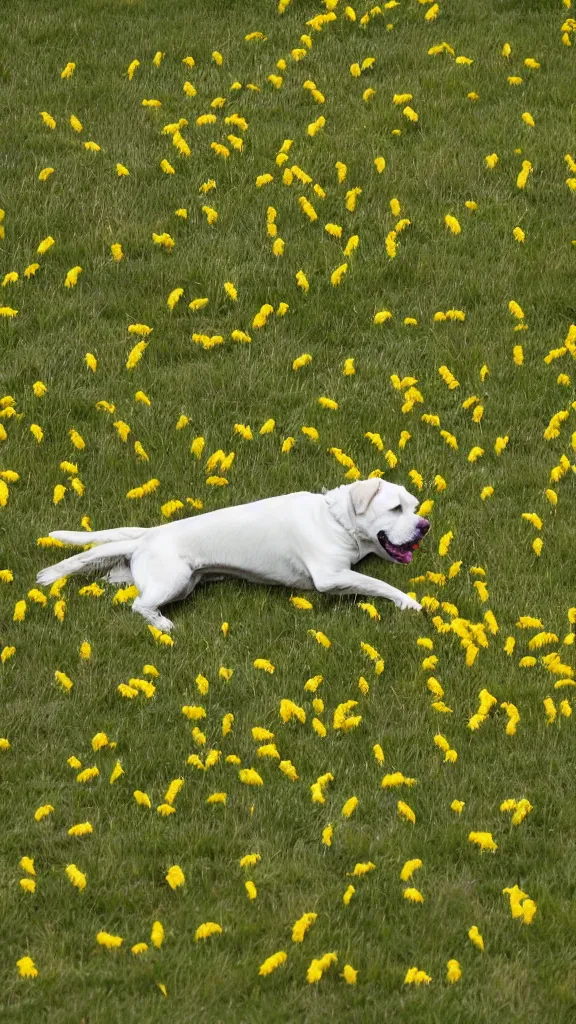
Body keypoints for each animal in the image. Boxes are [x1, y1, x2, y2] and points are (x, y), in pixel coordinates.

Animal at [36, 479, 426, 630]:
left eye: (414, 507)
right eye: (395, 509)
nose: (426, 525)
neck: (336, 519)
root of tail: (148, 535)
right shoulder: (331, 577)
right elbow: (378, 583)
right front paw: (409, 602)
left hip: (179, 583)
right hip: (174, 580)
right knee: (139, 605)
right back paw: (162, 625)